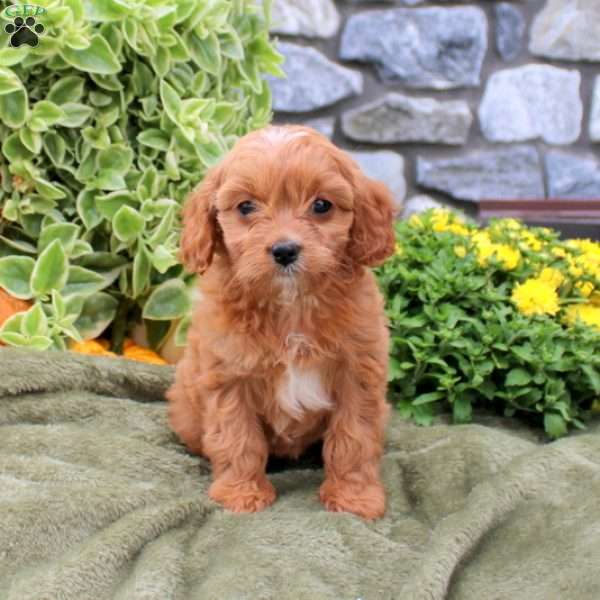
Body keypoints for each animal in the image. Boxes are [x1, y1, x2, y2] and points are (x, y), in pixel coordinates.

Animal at [166, 124, 396, 516]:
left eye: (321, 205)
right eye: (246, 206)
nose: (285, 250)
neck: (291, 305)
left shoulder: (358, 373)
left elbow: (354, 438)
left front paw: (353, 499)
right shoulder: (228, 376)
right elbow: (237, 437)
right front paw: (241, 494)